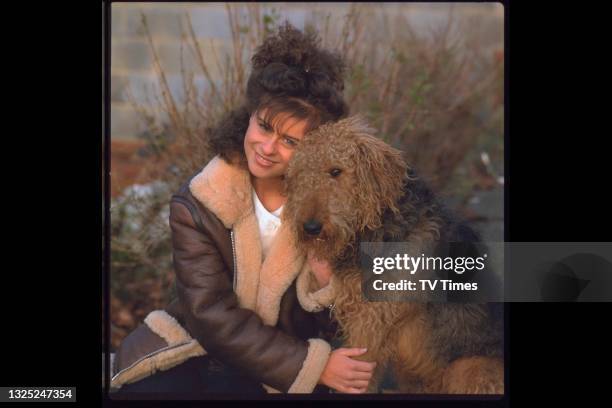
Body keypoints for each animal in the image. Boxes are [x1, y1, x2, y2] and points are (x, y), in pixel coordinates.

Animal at [282, 115, 502, 396]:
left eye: (336, 171)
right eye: (299, 175)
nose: (310, 228)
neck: (376, 227)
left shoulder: (372, 320)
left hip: (468, 369)